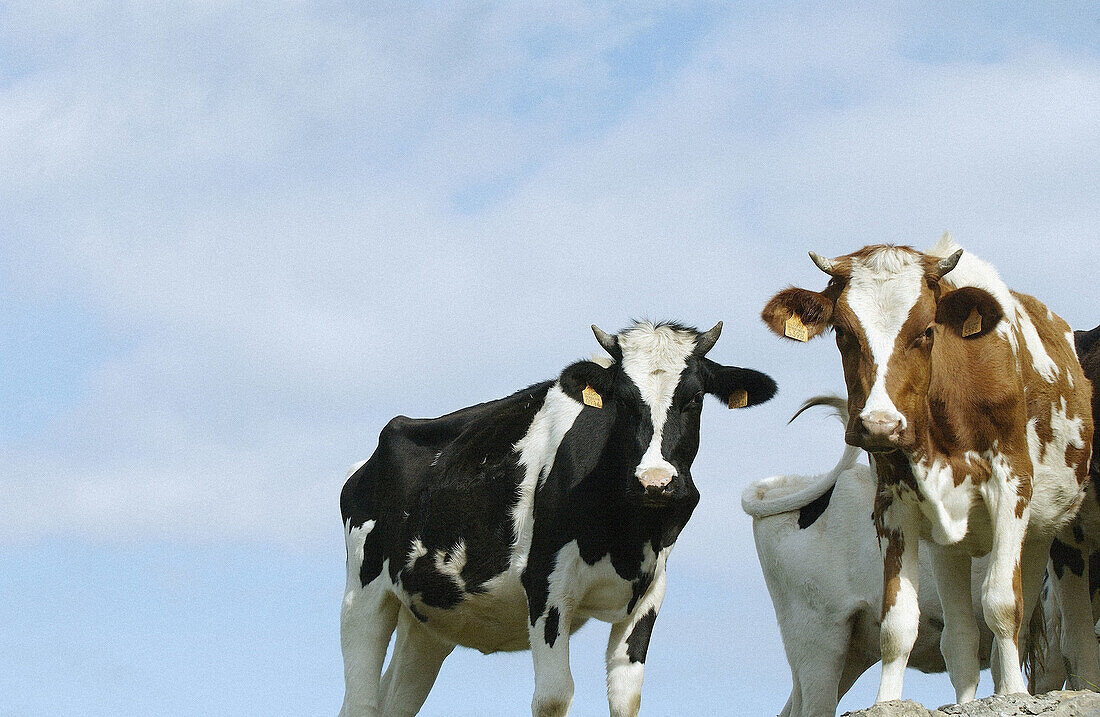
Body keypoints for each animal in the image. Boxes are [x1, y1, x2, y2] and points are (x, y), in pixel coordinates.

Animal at [338, 321, 778, 712]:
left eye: (695, 398)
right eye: (623, 400)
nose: (655, 481)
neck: (627, 536)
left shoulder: (650, 591)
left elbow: (626, 697)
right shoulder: (545, 584)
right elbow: (554, 696)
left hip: (429, 620)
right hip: (363, 594)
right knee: (361, 700)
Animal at [765, 236, 1091, 703]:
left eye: (926, 331)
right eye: (843, 332)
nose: (880, 424)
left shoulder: (1013, 486)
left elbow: (1003, 604)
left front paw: (1013, 694)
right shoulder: (894, 503)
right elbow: (898, 623)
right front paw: (886, 702)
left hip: (1042, 534)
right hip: (936, 552)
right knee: (959, 638)